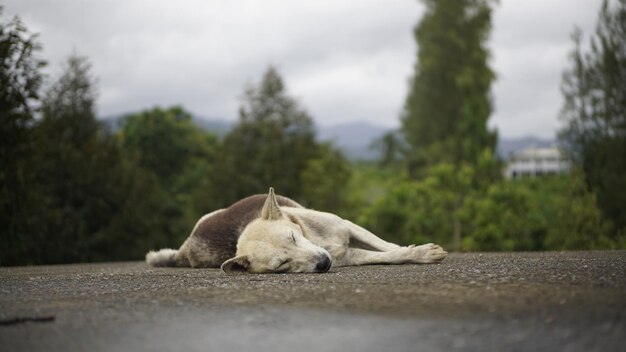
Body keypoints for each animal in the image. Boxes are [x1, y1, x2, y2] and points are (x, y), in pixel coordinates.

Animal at [146, 187, 446, 272]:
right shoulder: (347, 256)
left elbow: (387, 246)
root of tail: (184, 249)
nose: (324, 263)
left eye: (292, 237)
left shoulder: (348, 226)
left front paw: (412, 248)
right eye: (282, 264)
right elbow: (386, 255)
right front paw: (419, 253)